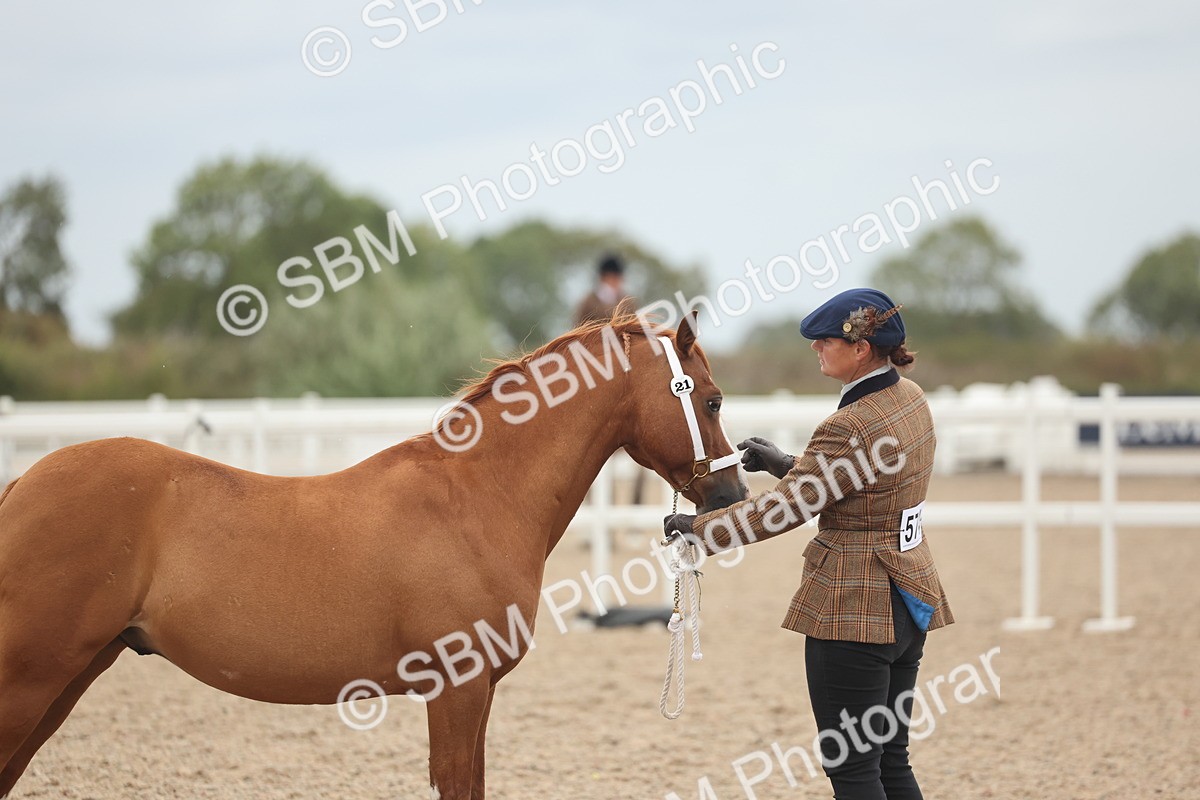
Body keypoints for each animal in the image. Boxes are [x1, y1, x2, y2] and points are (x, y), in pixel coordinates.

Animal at [0, 311, 748, 799]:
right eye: (711, 400)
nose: (733, 493)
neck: (474, 497)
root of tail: (23, 483)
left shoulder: (476, 694)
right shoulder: (456, 689)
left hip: (71, 673)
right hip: (33, 677)